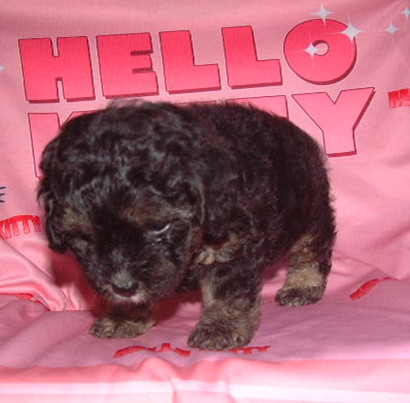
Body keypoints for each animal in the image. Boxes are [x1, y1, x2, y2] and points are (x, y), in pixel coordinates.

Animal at [38, 101, 335, 351]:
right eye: (84, 237)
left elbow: (227, 292)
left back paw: (303, 284)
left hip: (309, 208)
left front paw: (220, 327)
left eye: (160, 226)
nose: (123, 286)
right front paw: (125, 316)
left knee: (312, 247)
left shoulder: (231, 247)